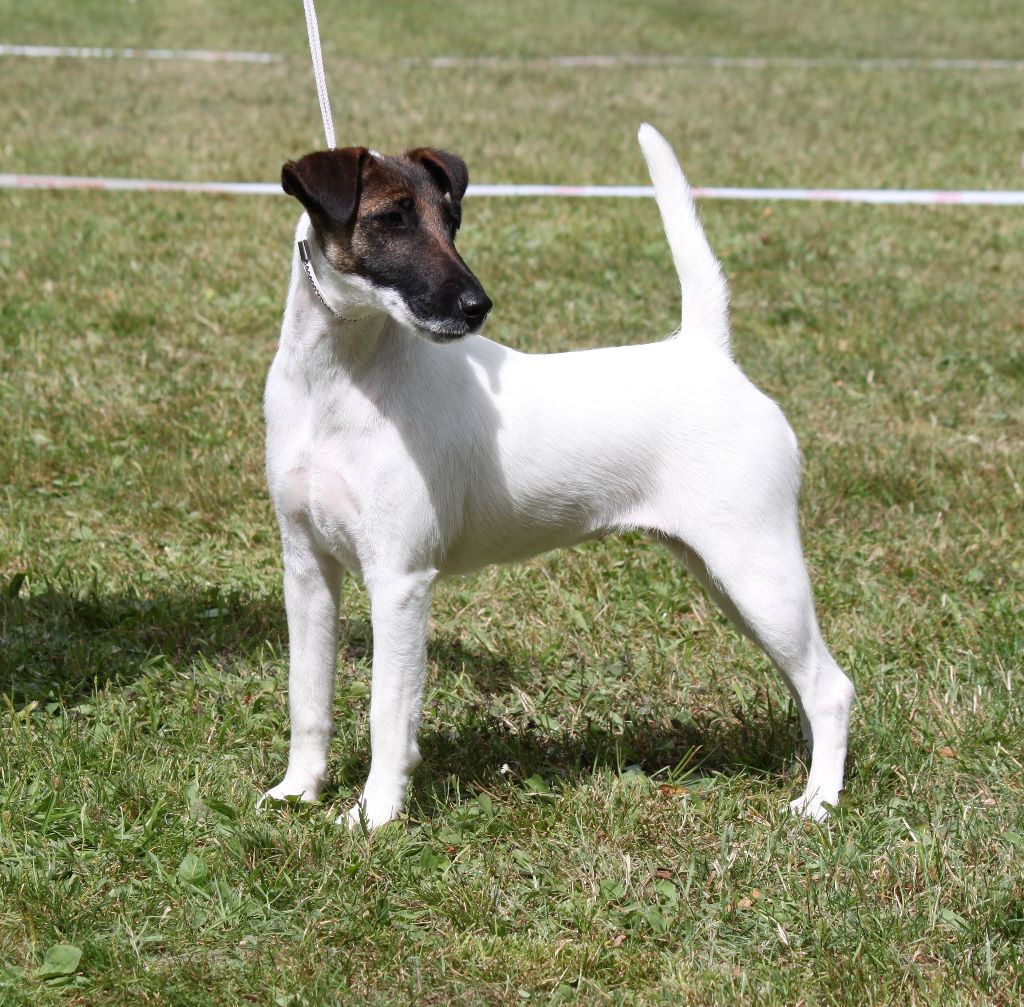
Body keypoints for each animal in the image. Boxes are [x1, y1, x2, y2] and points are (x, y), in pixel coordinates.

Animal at [264, 123, 856, 827]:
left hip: (757, 571)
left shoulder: (399, 582)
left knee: (831, 687)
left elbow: (388, 714)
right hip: (730, 582)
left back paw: (818, 803)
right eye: (391, 220)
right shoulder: (307, 569)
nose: (476, 305)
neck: (338, 387)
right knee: (805, 682)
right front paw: (298, 791)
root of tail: (708, 354)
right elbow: (306, 698)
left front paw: (374, 816)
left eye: (452, 221)